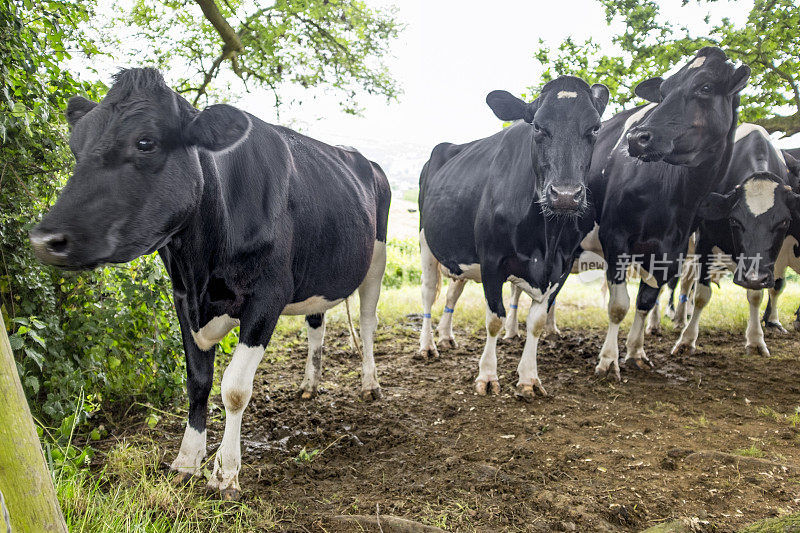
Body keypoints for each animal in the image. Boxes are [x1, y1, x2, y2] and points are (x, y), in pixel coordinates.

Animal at [29, 67, 392, 498]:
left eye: (146, 142)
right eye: (76, 146)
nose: (45, 240)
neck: (198, 266)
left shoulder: (267, 297)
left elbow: (234, 388)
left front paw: (225, 473)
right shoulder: (183, 298)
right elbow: (198, 381)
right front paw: (187, 460)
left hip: (376, 259)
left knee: (367, 324)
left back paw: (370, 384)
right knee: (316, 324)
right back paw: (309, 384)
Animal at [416, 75, 608, 400]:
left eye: (595, 128)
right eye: (537, 127)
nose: (565, 195)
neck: (546, 241)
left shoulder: (562, 267)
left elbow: (537, 323)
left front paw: (529, 378)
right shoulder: (492, 260)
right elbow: (495, 319)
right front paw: (487, 376)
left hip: (461, 258)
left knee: (453, 292)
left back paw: (446, 336)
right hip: (426, 242)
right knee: (430, 294)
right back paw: (428, 345)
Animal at [588, 47, 752, 376]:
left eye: (705, 87)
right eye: (663, 92)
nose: (637, 137)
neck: (677, 194)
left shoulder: (672, 249)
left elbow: (646, 300)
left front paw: (636, 351)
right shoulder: (615, 235)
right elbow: (619, 305)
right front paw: (608, 359)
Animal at [672, 124, 796, 356]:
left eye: (784, 222)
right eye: (734, 220)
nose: (754, 277)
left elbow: (756, 296)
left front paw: (756, 340)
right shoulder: (704, 242)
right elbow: (701, 294)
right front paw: (686, 340)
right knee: (685, 282)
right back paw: (677, 321)